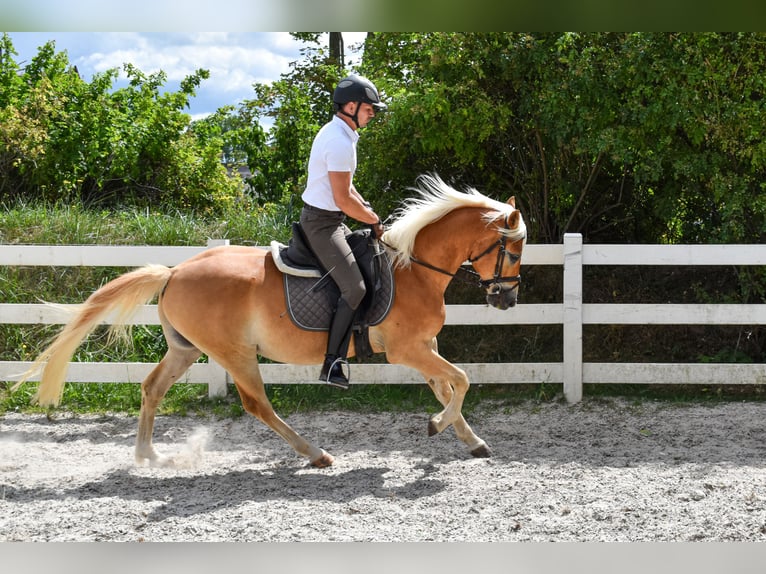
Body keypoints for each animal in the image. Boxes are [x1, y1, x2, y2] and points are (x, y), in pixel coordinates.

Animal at [14, 174, 527, 468]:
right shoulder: (407, 350)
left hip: (185, 349)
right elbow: (462, 381)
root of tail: (176, 271)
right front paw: (437, 427)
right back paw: (315, 454)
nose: (507, 300)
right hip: (235, 353)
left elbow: (449, 386)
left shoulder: (426, 347)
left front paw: (470, 440)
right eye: (515, 248)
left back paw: (149, 456)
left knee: (152, 387)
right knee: (257, 404)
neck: (413, 269)